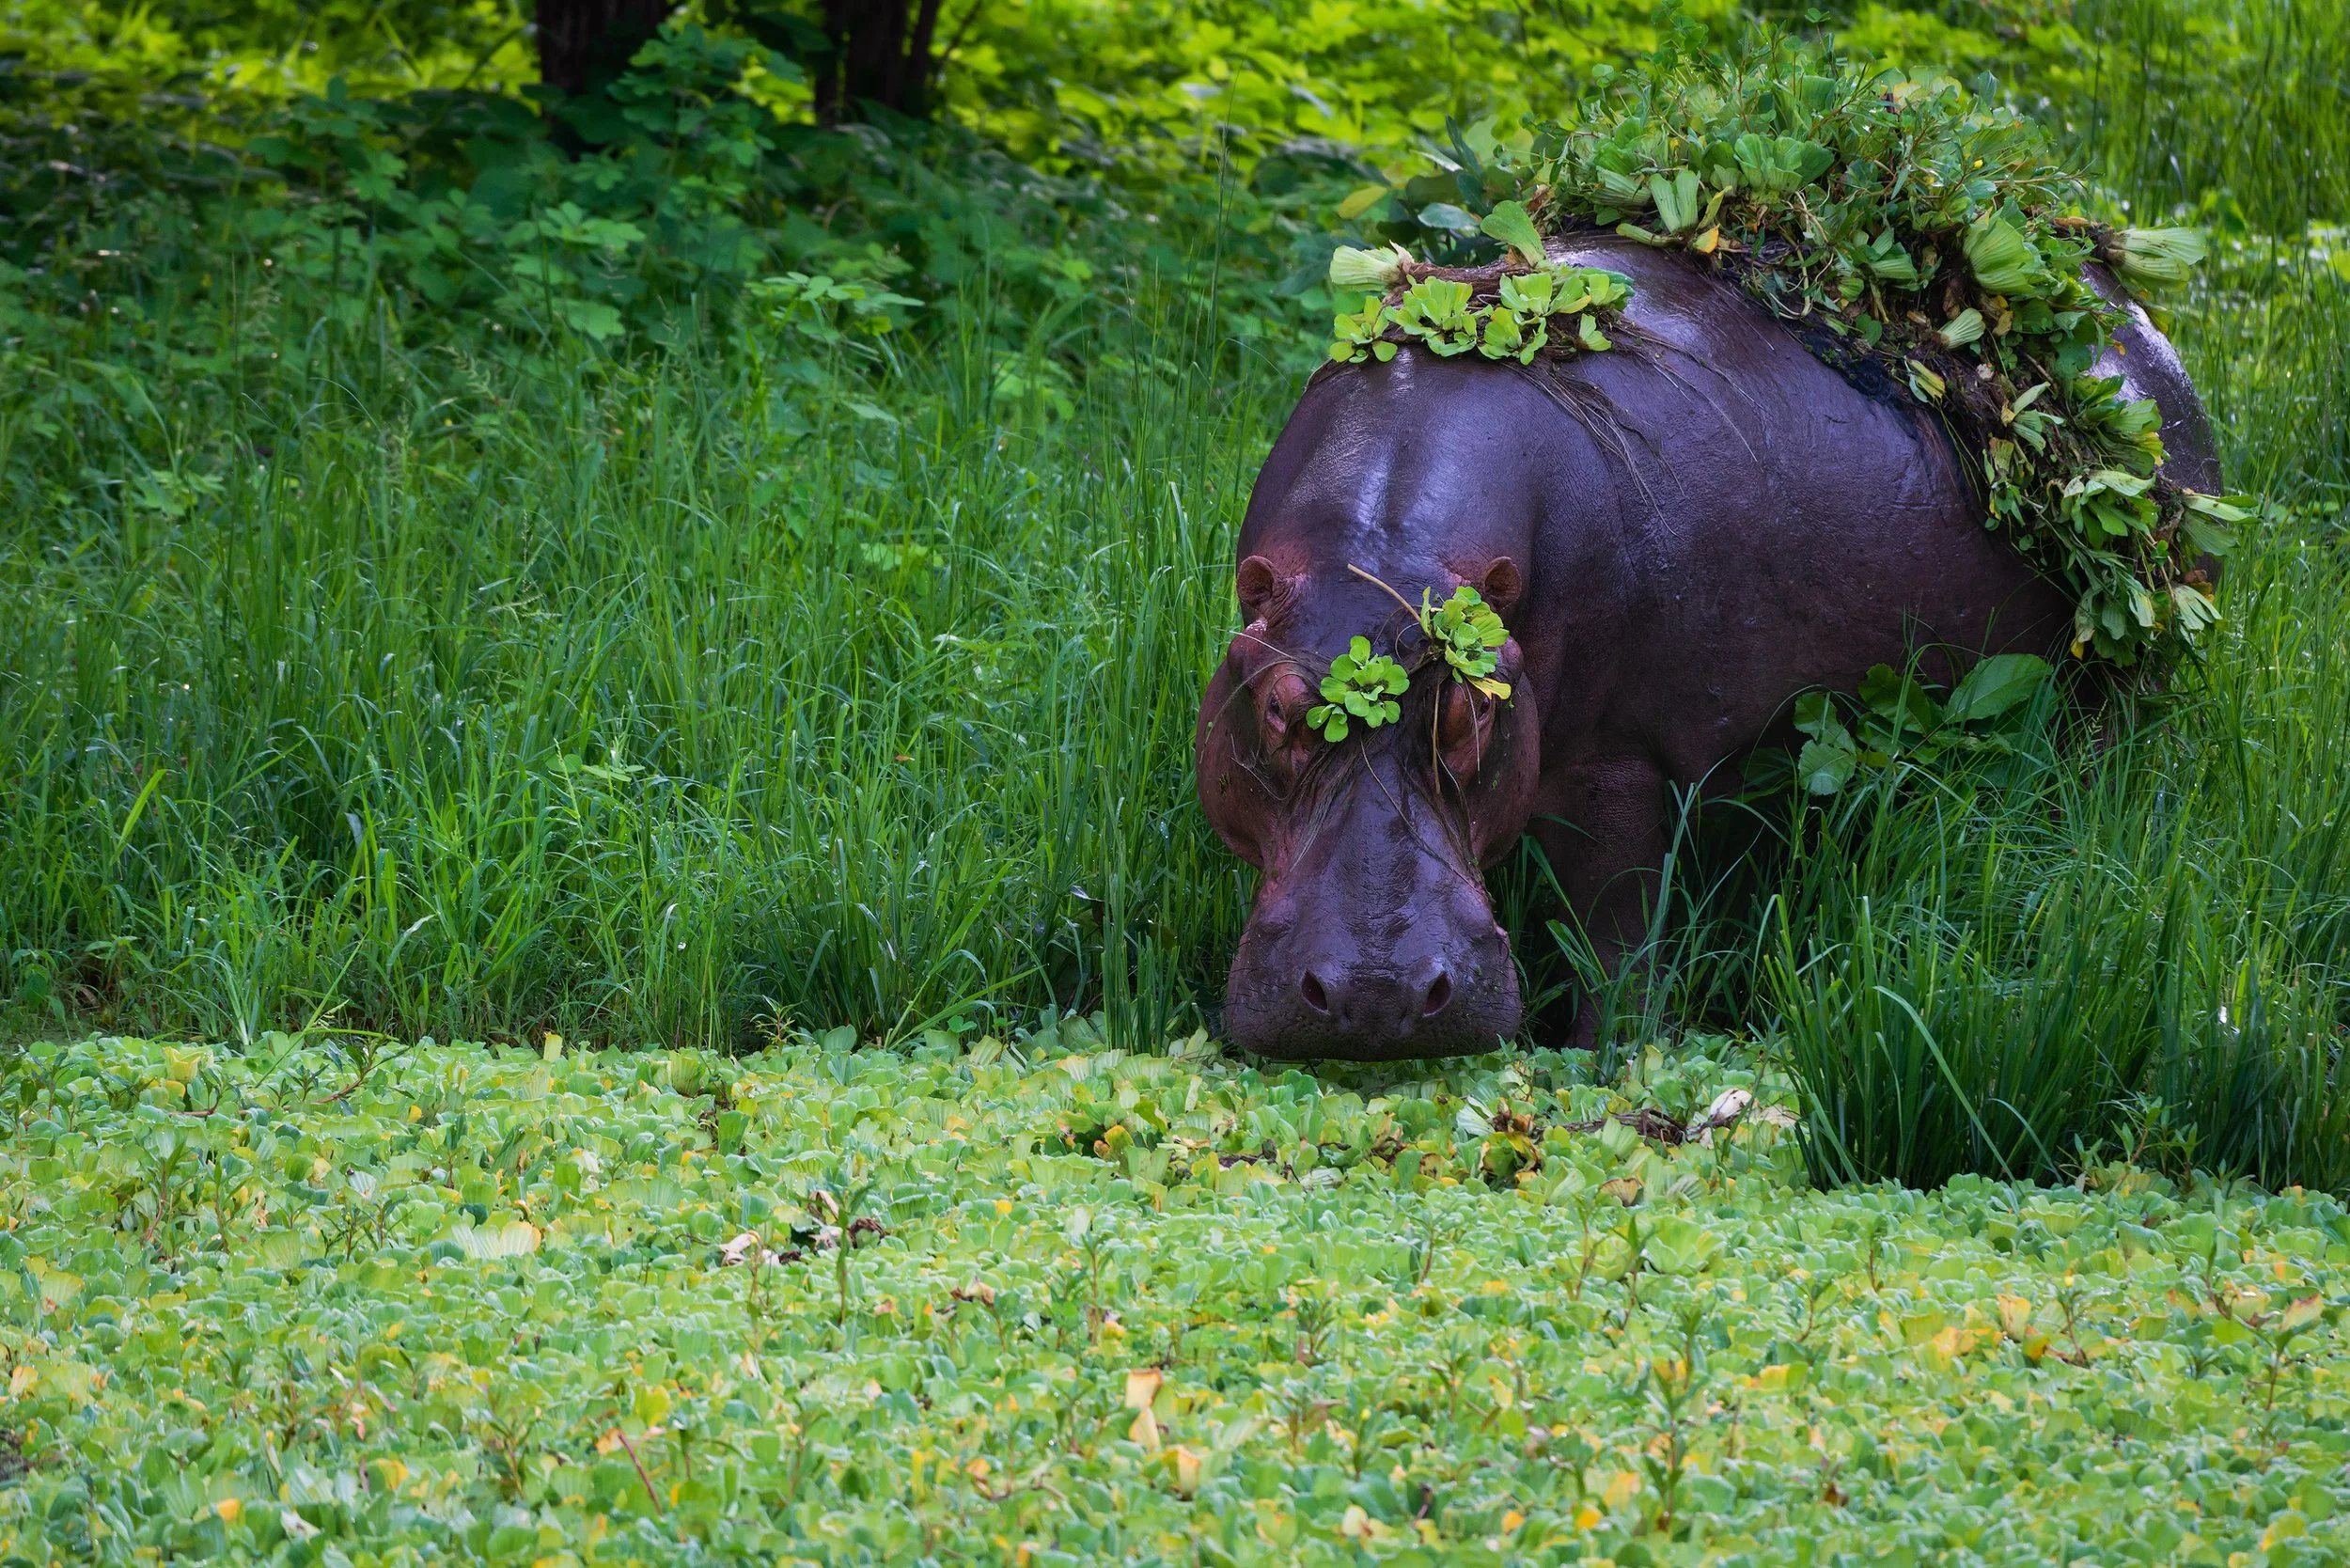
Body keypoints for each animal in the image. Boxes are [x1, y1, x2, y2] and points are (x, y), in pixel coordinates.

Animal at [1193, 232, 2219, 1061]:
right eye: (1278, 708)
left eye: (1472, 714)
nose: (1377, 998)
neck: (1387, 553)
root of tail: (2134, 321)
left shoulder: (1617, 759)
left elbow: (1614, 930)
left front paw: (1607, 1060)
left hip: (2117, 693)